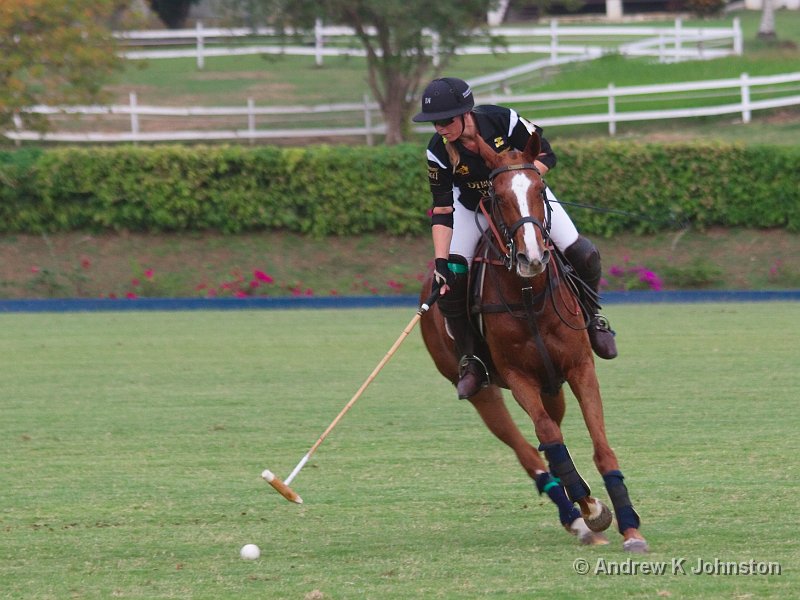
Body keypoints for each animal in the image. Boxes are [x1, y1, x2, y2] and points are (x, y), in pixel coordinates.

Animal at [418, 132, 648, 552]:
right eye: (496, 196)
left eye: (540, 190)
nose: (533, 257)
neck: (528, 293)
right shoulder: (518, 376)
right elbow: (549, 438)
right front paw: (591, 508)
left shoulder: (579, 367)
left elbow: (600, 446)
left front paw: (630, 526)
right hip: (484, 389)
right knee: (529, 450)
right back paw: (576, 518)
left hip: (552, 384)